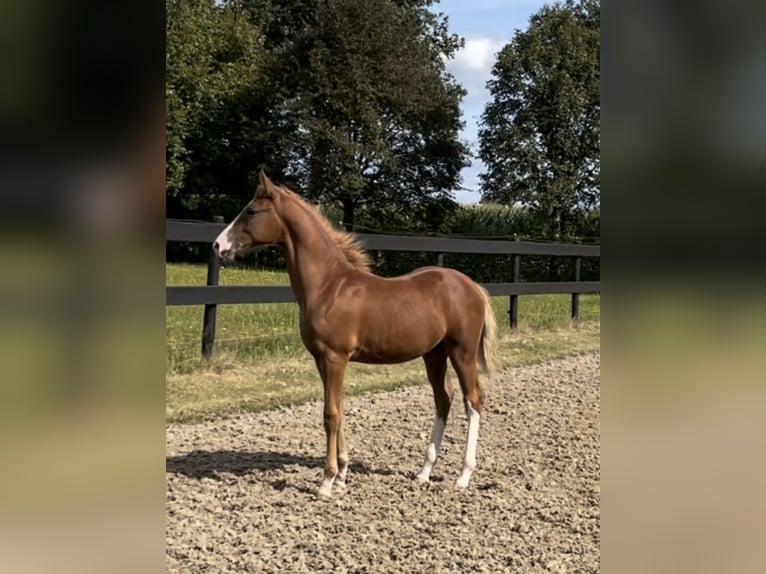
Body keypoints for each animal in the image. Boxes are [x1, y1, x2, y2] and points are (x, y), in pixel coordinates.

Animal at [213, 172, 498, 500]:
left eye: (252, 211)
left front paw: (327, 482)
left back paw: (463, 476)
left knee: (473, 399)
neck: (329, 286)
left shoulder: (335, 357)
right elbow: (338, 410)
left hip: (461, 351)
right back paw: (424, 473)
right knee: (444, 398)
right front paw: (342, 475)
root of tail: (474, 287)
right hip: (434, 354)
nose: (218, 245)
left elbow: (330, 414)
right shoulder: (322, 360)